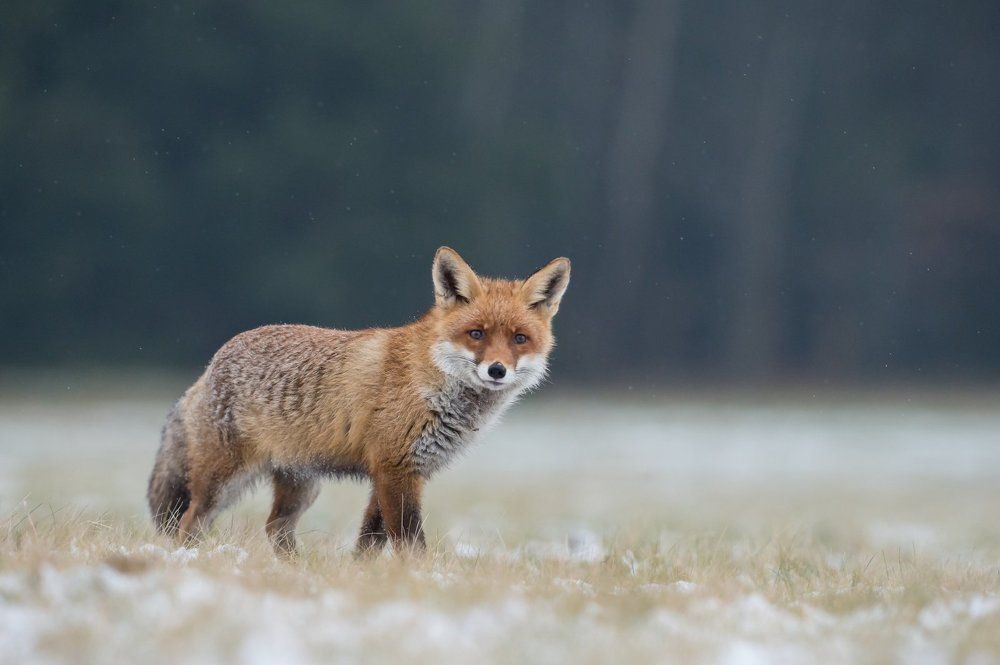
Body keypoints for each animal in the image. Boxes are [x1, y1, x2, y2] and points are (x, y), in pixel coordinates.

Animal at [147, 247, 570, 556]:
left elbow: (370, 543)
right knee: (188, 525)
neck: (430, 381)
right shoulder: (395, 469)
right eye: (477, 334)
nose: (497, 371)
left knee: (275, 529)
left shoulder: (400, 471)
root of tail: (211, 364)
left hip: (301, 484)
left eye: (519, 339)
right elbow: (410, 543)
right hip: (223, 483)